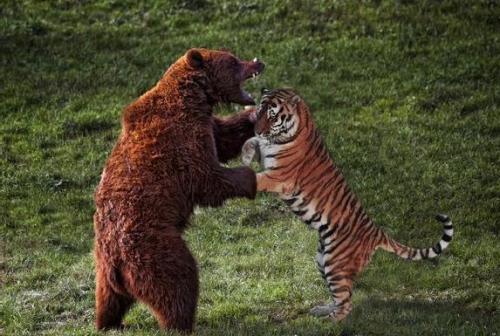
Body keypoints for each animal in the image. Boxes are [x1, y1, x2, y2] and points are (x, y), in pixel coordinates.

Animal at [94, 48, 266, 332]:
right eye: (233, 60)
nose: (258, 62)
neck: (195, 98)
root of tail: (115, 262)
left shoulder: (206, 124)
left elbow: (224, 137)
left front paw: (254, 115)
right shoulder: (182, 138)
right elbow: (207, 178)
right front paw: (249, 178)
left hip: (102, 271)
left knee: (109, 300)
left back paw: (109, 323)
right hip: (153, 249)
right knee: (178, 282)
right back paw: (181, 323)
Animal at [241, 88, 454, 322]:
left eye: (272, 116)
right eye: (259, 112)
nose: (258, 129)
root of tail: (377, 232)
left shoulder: (279, 177)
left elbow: (256, 176)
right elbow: (252, 143)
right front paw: (246, 154)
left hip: (335, 264)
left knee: (346, 303)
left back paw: (328, 321)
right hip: (322, 259)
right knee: (340, 297)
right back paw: (323, 309)